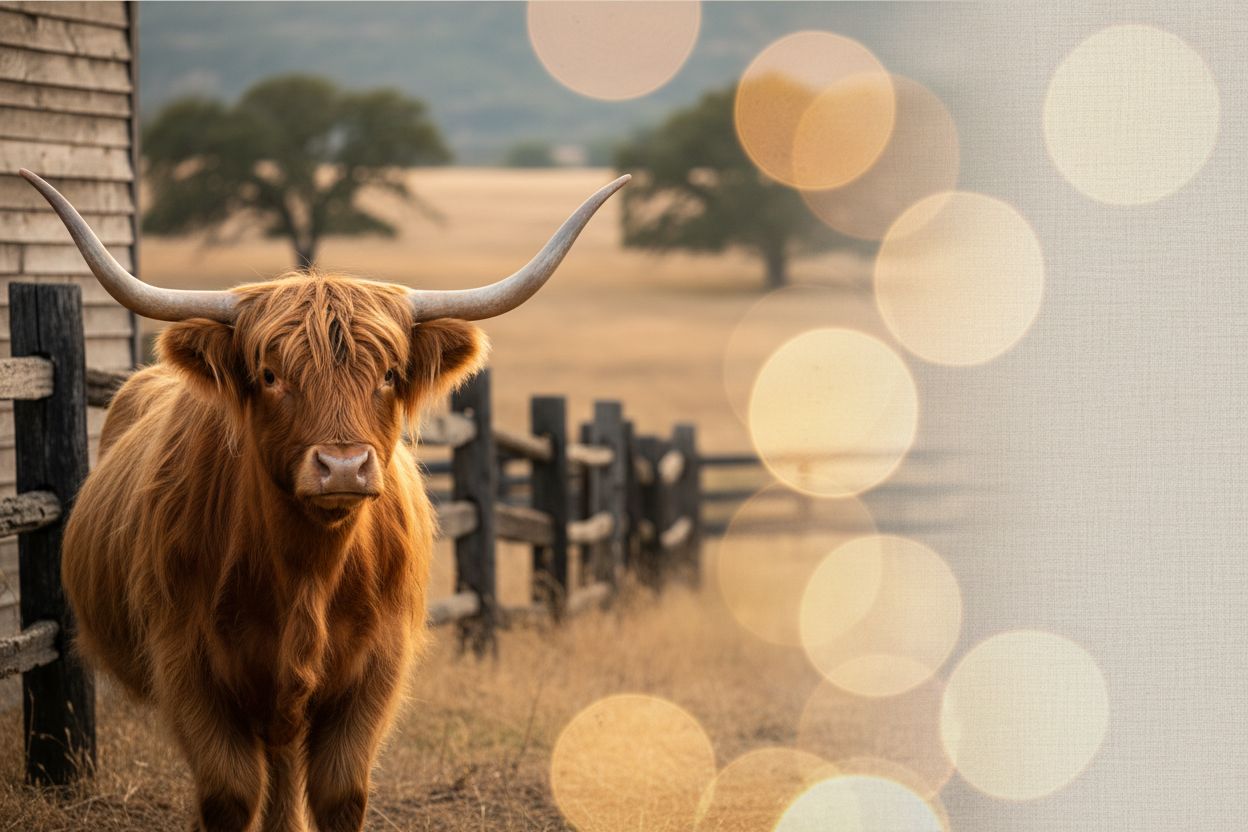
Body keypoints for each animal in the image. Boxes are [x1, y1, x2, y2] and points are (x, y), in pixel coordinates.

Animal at [19, 168, 627, 832]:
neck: (306, 571)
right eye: (269, 374)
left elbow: (340, 792)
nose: (343, 466)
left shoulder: (376, 669)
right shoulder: (186, 665)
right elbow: (228, 793)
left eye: (388, 373)